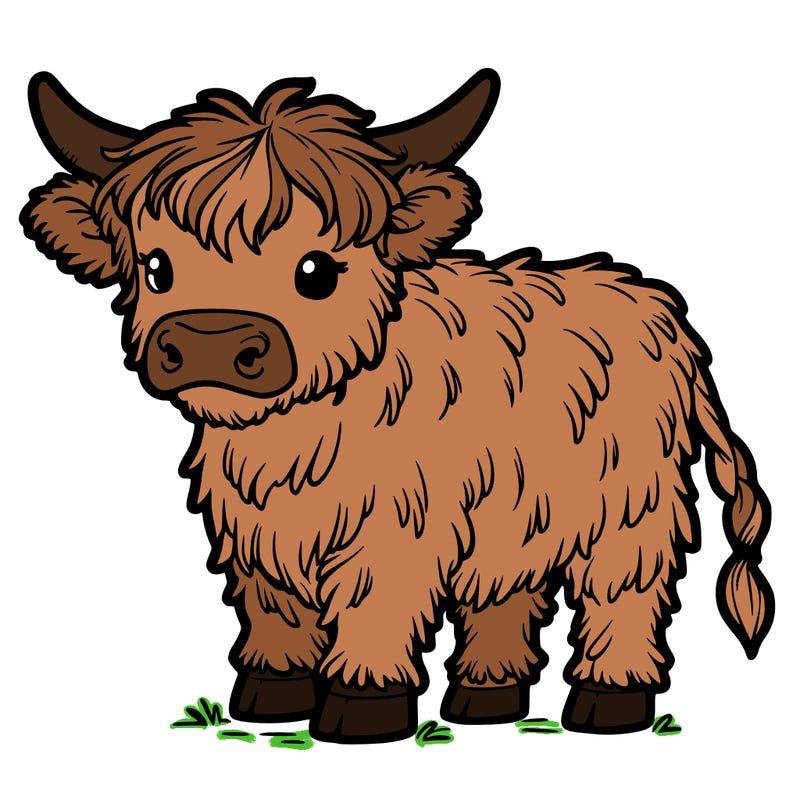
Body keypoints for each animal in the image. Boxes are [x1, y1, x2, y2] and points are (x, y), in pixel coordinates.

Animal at [21, 69, 773, 744]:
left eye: (317, 269)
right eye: (156, 267)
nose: (214, 341)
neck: (296, 436)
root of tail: (665, 312)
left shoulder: (394, 529)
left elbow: (374, 610)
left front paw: (361, 710)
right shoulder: (253, 528)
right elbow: (274, 609)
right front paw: (271, 694)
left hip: (630, 507)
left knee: (622, 593)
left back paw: (607, 703)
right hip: (517, 510)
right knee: (505, 594)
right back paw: (486, 698)